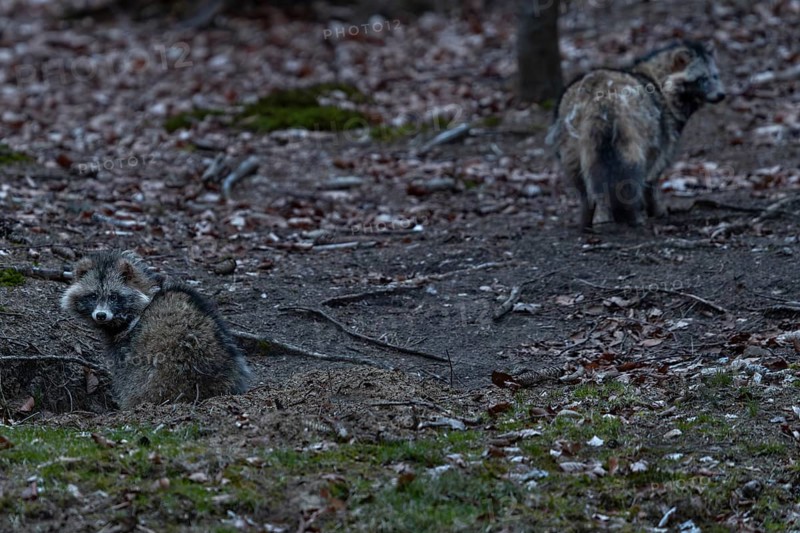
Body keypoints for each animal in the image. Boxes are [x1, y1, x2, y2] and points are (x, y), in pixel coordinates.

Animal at [547, 40, 725, 229]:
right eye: (702, 79)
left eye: (715, 76)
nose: (722, 95)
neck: (658, 81)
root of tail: (597, 88)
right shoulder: (662, 138)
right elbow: (651, 179)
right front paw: (654, 209)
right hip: (631, 132)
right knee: (629, 172)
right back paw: (625, 215)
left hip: (570, 141)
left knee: (582, 183)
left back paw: (589, 215)